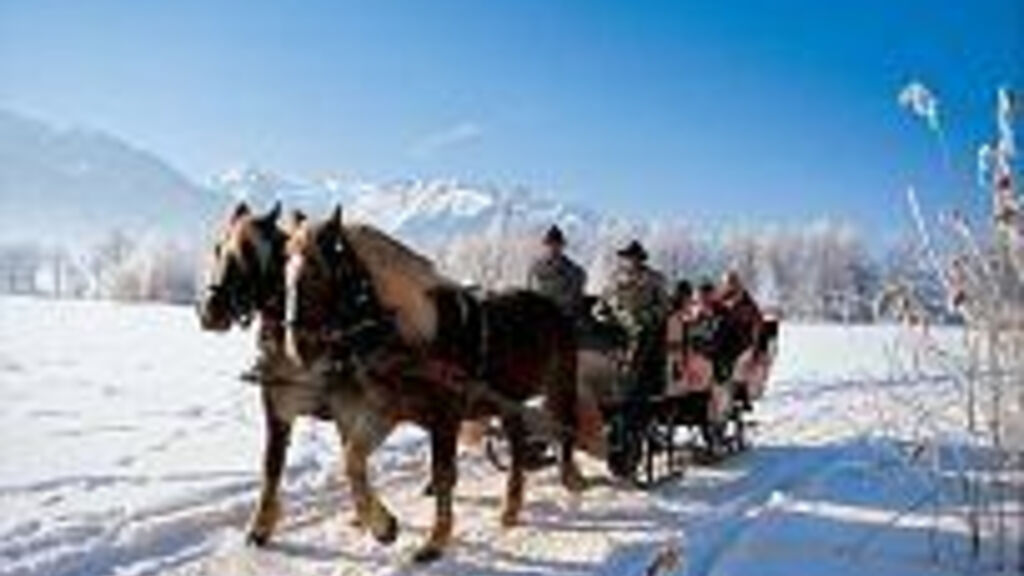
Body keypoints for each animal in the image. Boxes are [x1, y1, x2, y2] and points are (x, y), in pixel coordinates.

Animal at [284, 206, 586, 562]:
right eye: (284, 270)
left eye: (316, 273)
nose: (298, 349)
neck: (418, 335)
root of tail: (550, 306)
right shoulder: (387, 412)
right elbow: (353, 458)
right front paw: (383, 526)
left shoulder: (445, 419)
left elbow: (443, 476)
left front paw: (436, 540)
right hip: (508, 399)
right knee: (516, 441)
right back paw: (511, 508)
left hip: (560, 381)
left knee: (565, 424)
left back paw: (570, 477)